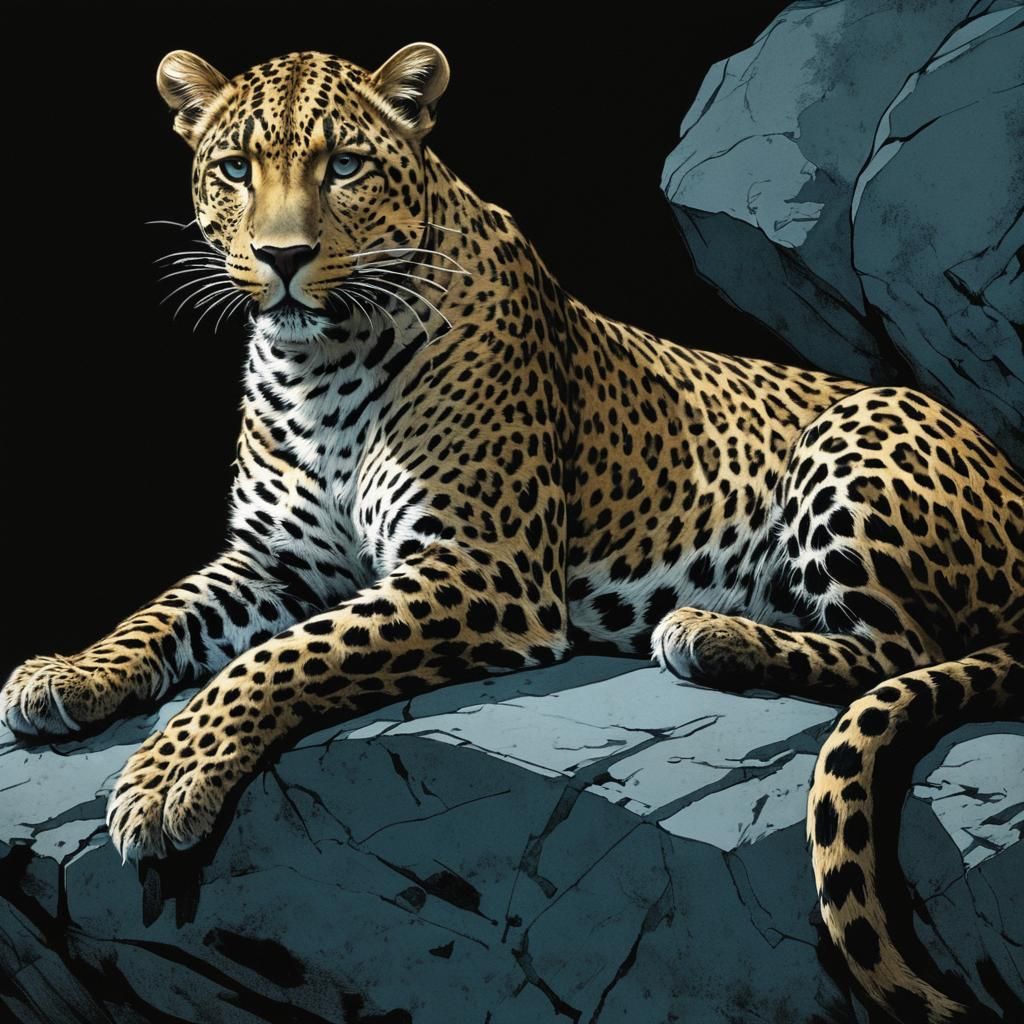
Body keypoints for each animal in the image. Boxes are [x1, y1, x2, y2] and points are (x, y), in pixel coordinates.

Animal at [4, 43, 1021, 1024]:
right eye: (234, 168)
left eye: (344, 166)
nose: (282, 255)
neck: (316, 365)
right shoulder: (277, 563)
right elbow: (165, 611)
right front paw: (65, 674)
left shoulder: (480, 567)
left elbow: (288, 656)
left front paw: (166, 777)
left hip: (856, 429)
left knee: (901, 647)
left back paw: (706, 632)